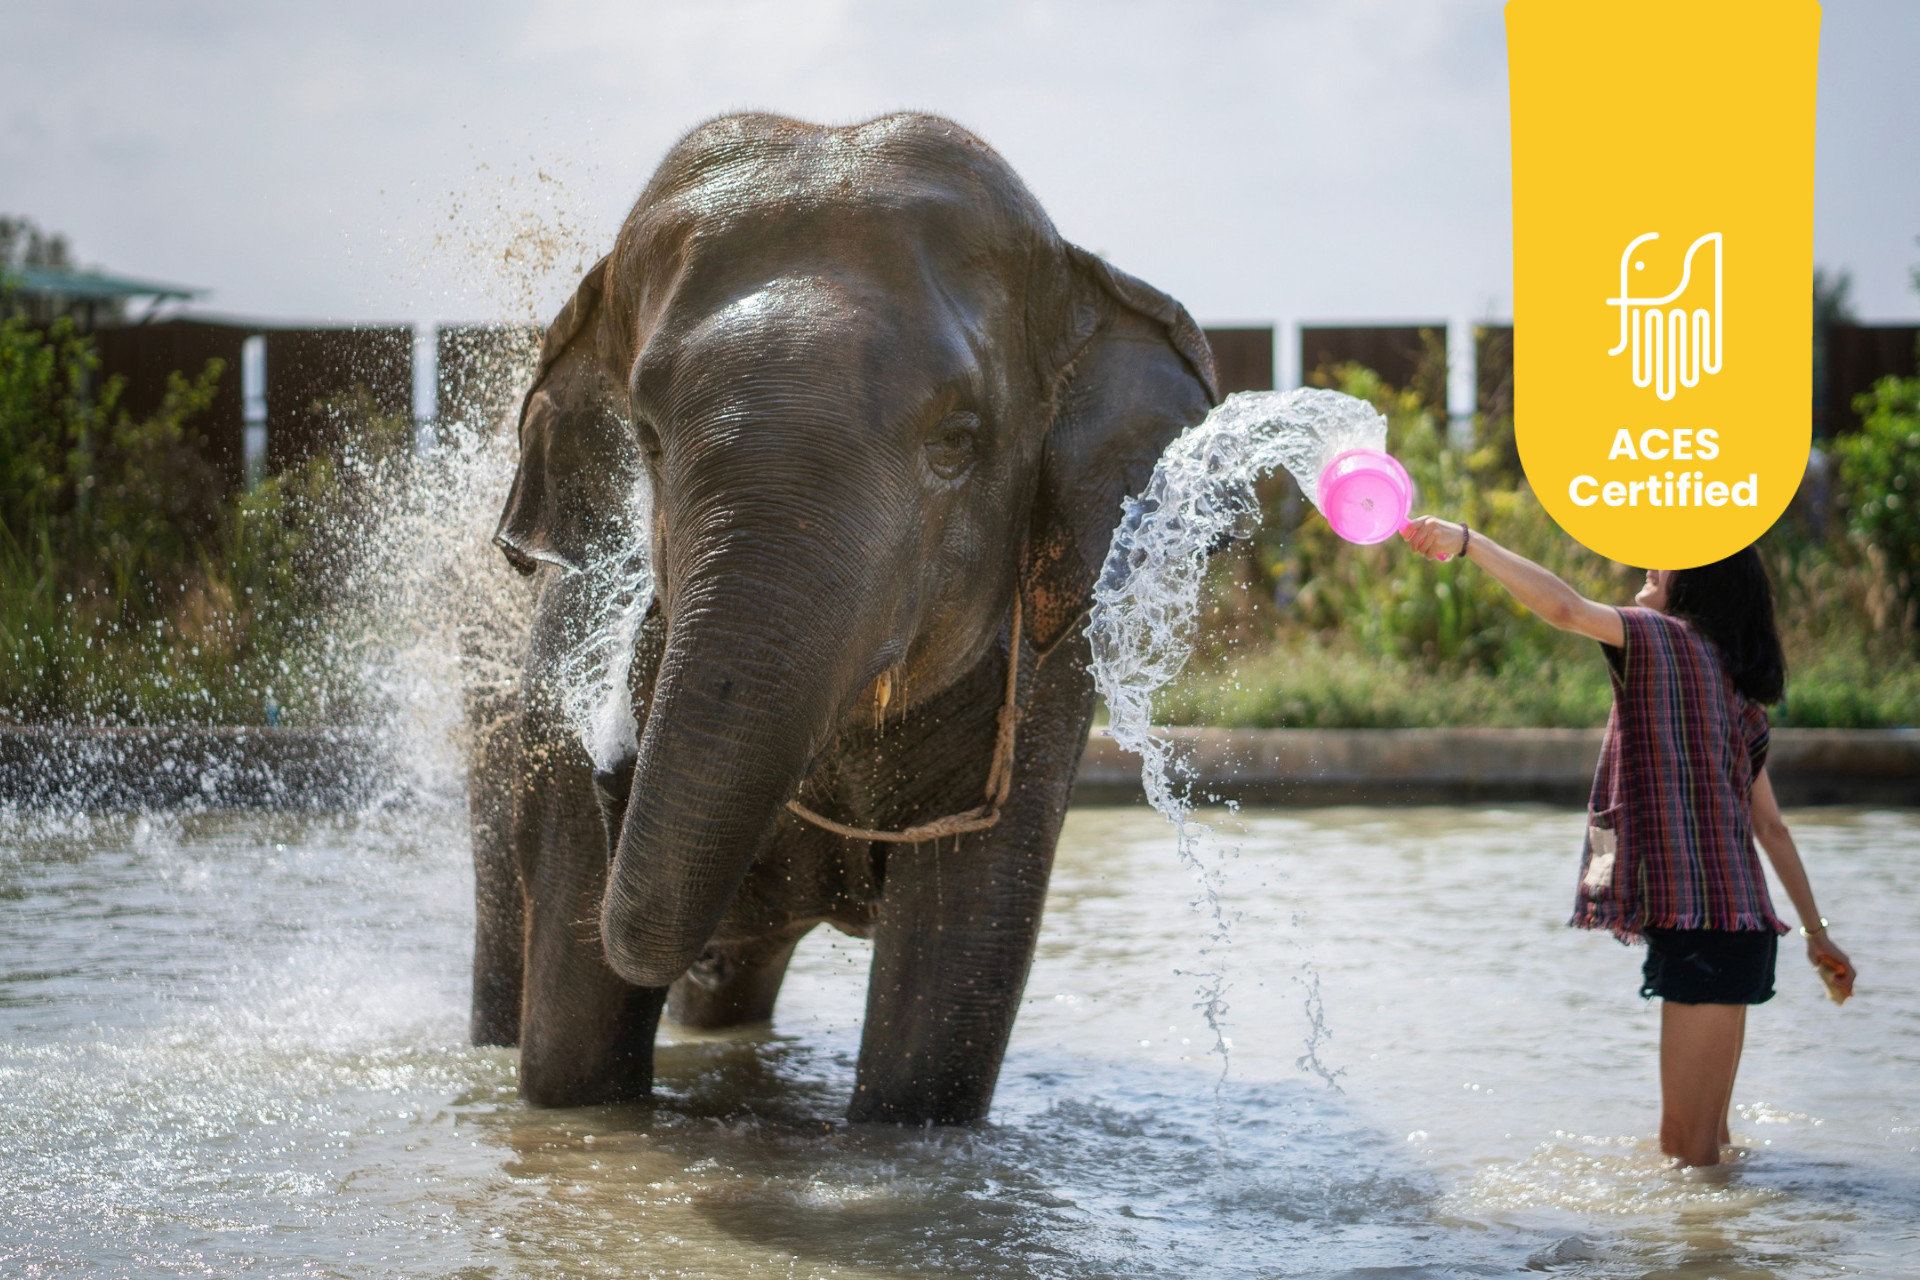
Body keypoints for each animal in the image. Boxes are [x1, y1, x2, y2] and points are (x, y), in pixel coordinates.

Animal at [471, 111, 1217, 1124]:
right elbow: (572, 1057)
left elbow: (945, 1008)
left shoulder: (1047, 684)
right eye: (649, 442)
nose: (613, 759)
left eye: (958, 442)